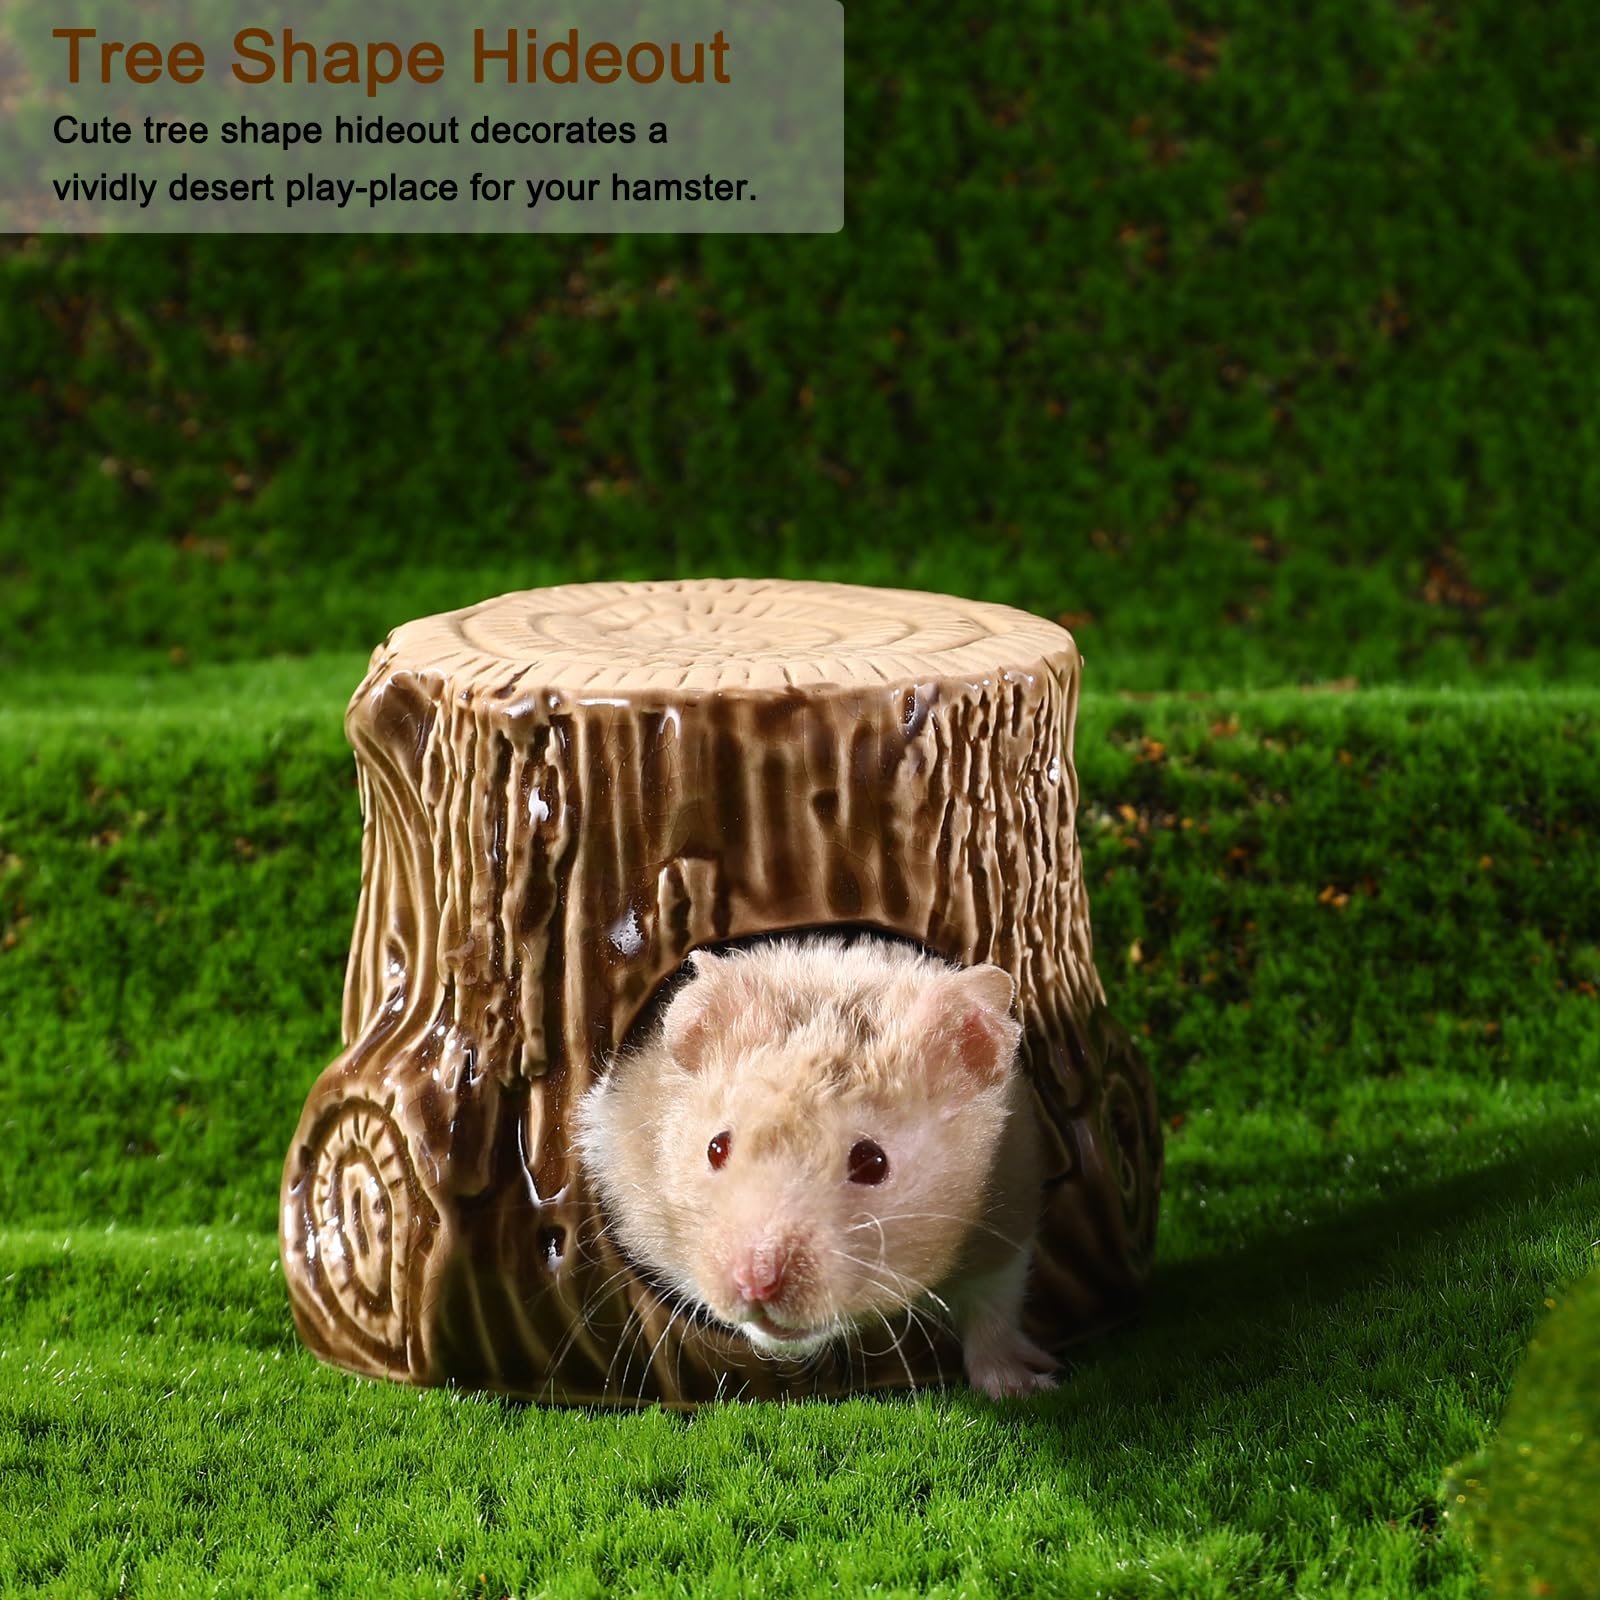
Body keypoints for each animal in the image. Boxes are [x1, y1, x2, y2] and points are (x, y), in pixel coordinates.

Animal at [572, 935, 1060, 1399]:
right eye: (716, 1147)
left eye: (872, 1161)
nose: (756, 1283)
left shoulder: (1010, 1210)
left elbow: (993, 1308)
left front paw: (1021, 1388)